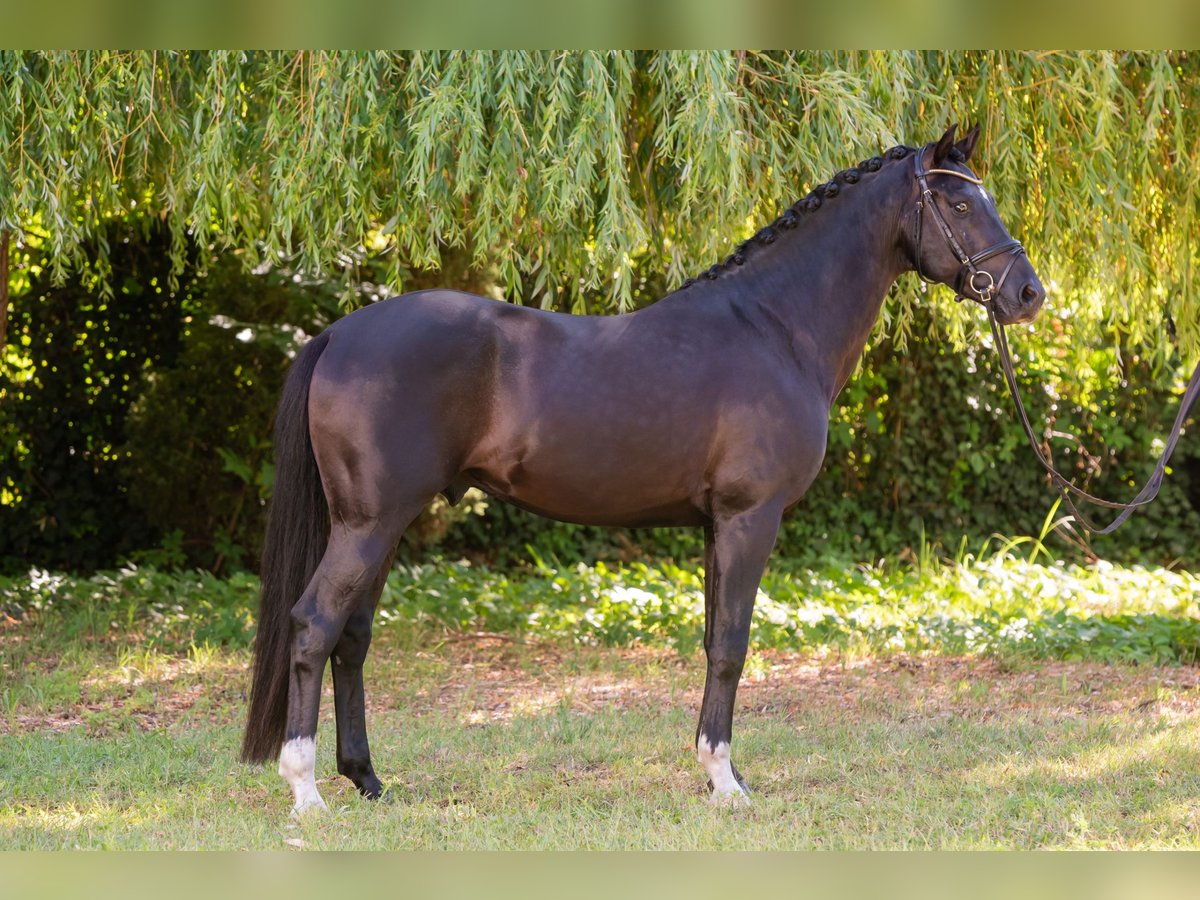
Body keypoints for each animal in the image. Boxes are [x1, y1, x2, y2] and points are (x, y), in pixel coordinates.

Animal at [241, 124, 1046, 813]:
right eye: (960, 202)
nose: (1028, 294)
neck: (774, 327)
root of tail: (340, 335)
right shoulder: (750, 518)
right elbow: (733, 647)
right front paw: (726, 783)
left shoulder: (716, 525)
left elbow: (714, 642)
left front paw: (718, 773)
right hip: (369, 523)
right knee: (315, 626)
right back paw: (306, 791)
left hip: (384, 523)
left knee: (352, 638)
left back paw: (367, 779)